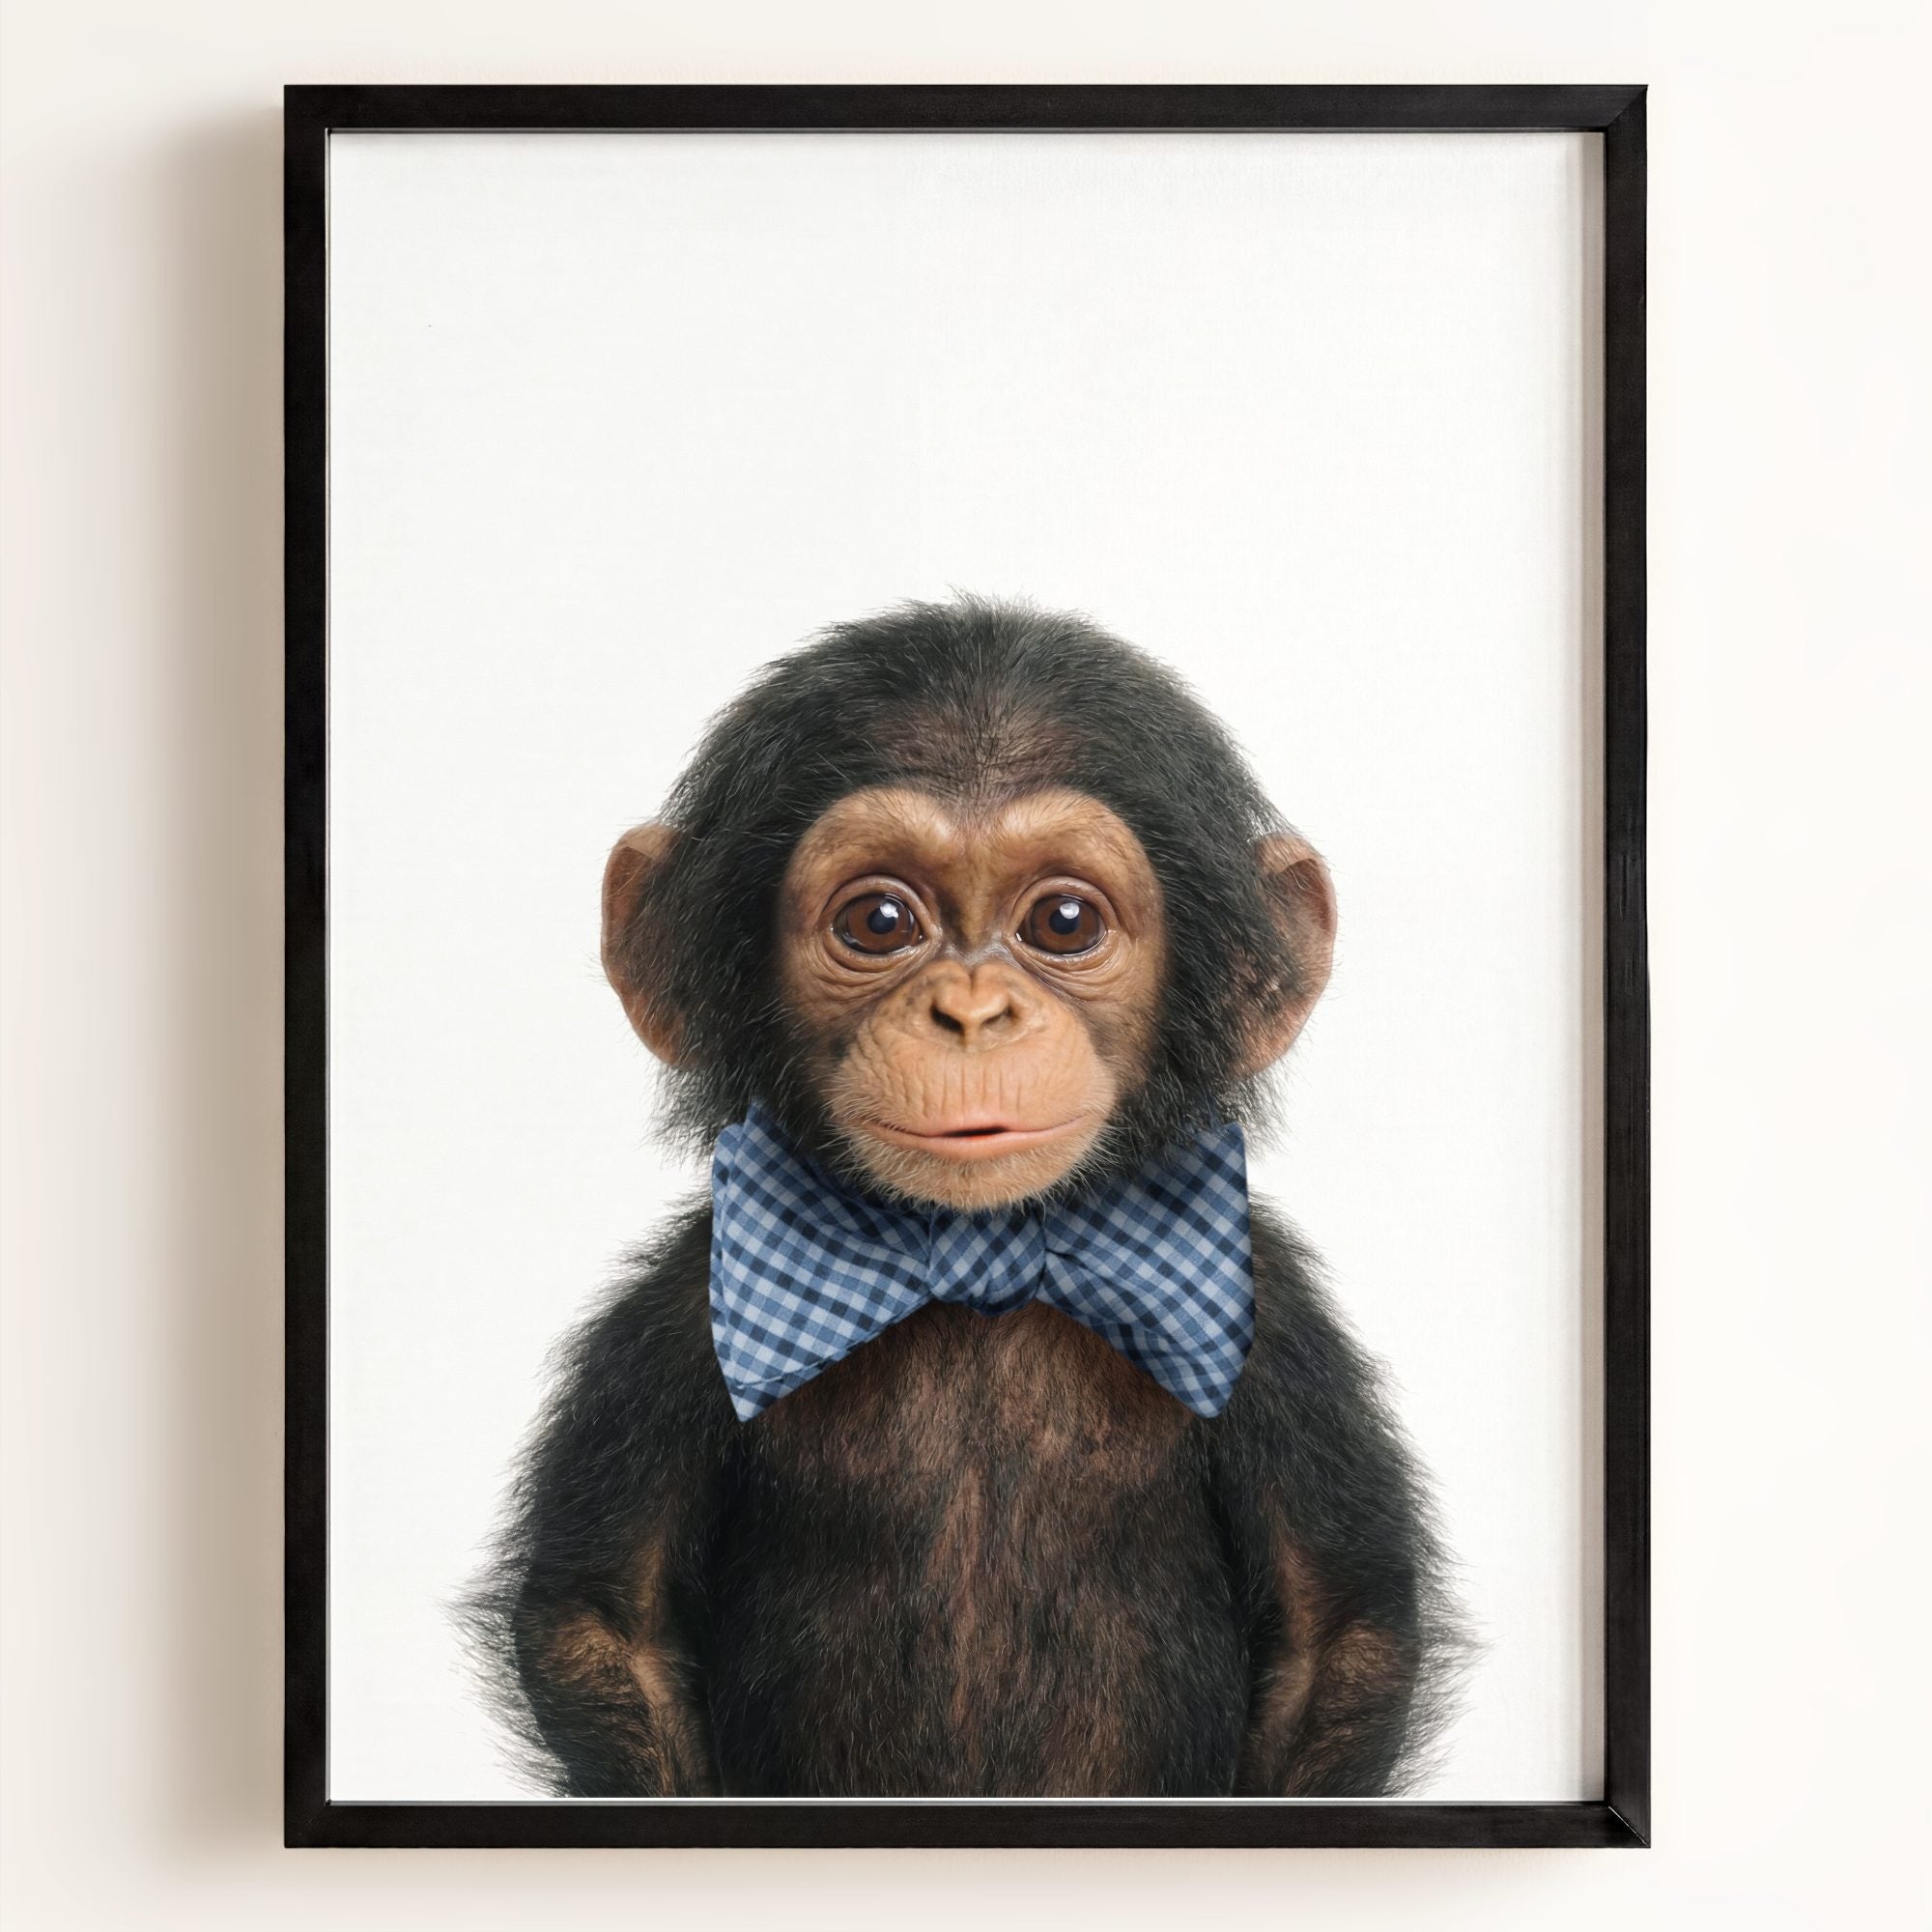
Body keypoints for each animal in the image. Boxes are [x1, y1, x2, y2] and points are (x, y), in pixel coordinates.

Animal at [463, 596, 1464, 1798]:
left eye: (1064, 921)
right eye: (880, 921)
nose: (973, 1012)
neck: (976, 1254)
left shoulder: (1273, 1327)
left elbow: (1336, 1632)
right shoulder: (670, 1319)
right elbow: (606, 1622)